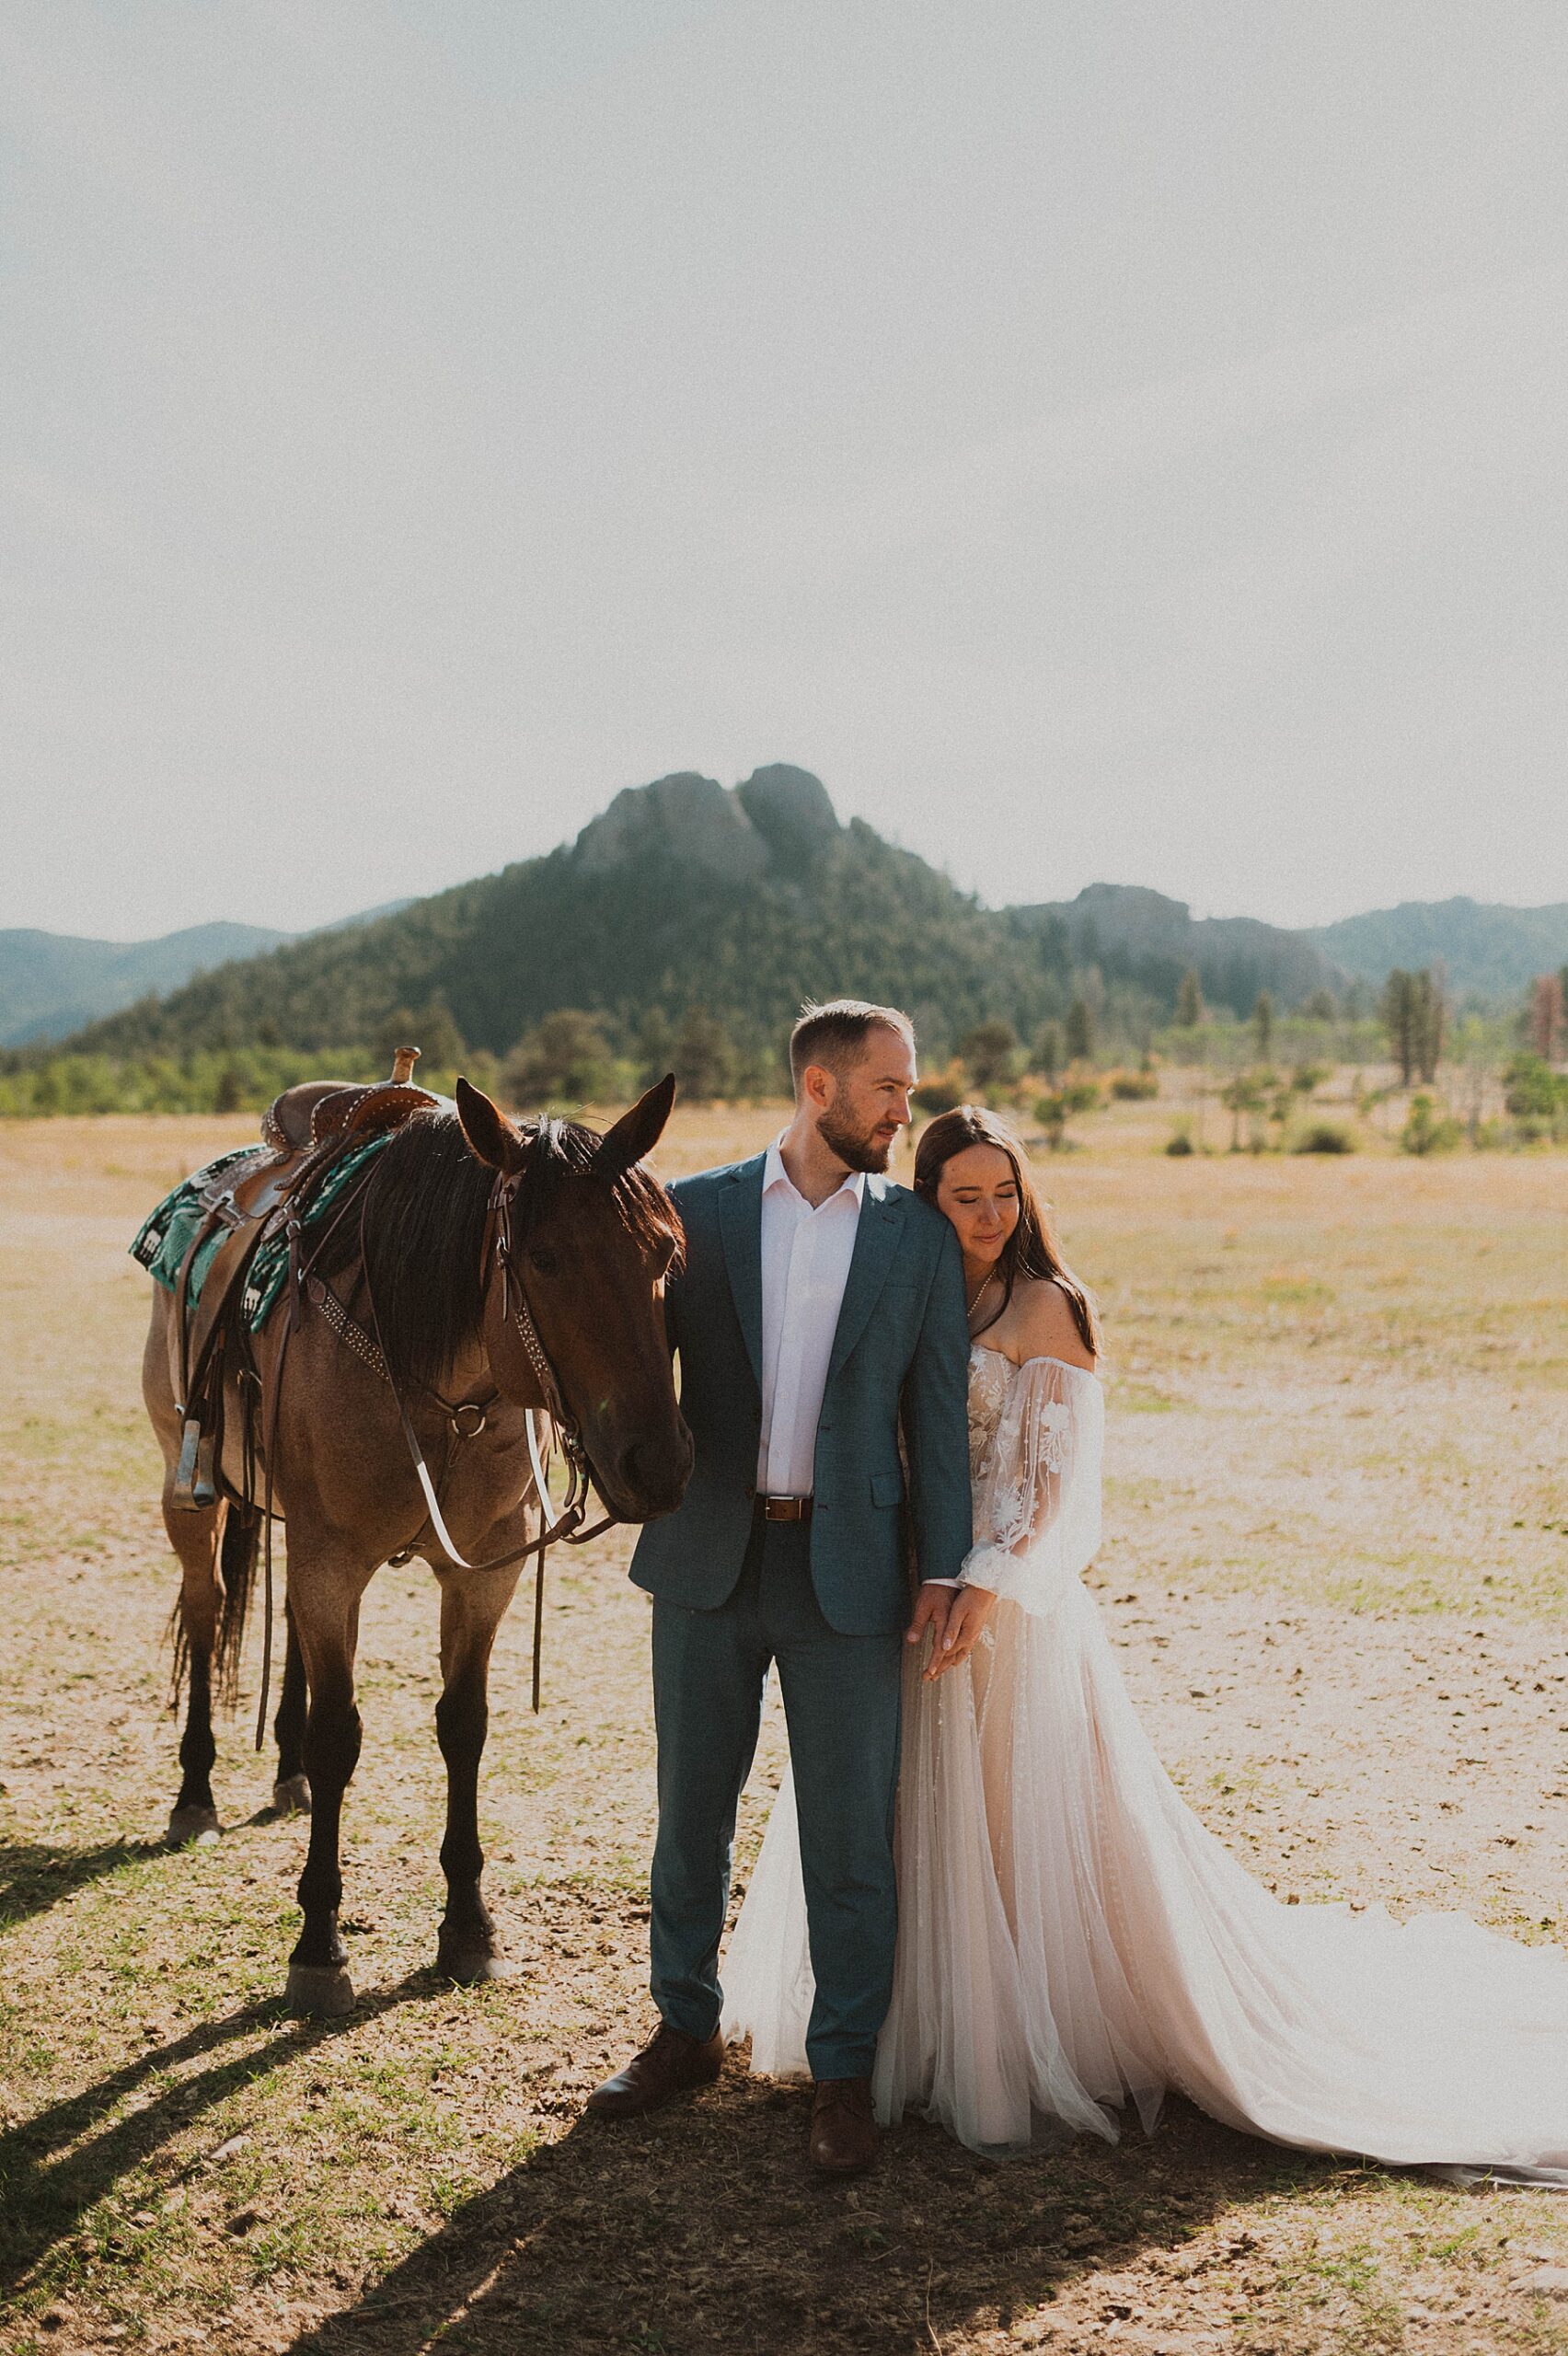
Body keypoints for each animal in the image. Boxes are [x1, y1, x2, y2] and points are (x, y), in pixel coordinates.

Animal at [137, 1079, 687, 2016]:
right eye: (544, 1259)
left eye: (662, 1254)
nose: (660, 1464)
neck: (439, 1385)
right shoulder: (331, 1562)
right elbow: (341, 1737)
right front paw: (318, 1946)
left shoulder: (484, 1572)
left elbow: (463, 1725)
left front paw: (468, 1926)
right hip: (193, 1491)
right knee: (207, 1616)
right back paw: (197, 1795)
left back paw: (285, 1773)